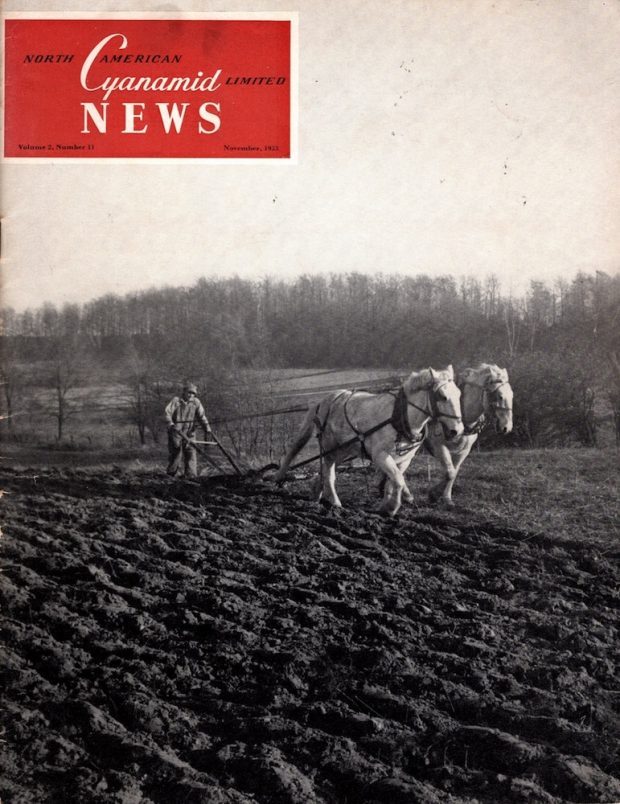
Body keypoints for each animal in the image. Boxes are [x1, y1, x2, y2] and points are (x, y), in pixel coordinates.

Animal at [274, 370, 462, 520]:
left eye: (459, 394)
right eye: (442, 396)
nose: (457, 430)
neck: (399, 417)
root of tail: (325, 400)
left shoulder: (404, 459)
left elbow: (393, 481)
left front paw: (385, 506)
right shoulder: (380, 456)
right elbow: (398, 480)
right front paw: (391, 508)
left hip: (342, 450)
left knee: (324, 471)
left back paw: (316, 492)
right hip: (329, 448)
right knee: (328, 473)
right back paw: (335, 501)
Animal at [426, 362, 512, 506]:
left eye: (512, 395)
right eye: (500, 396)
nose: (507, 427)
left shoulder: (464, 450)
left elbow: (453, 472)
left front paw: (444, 497)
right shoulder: (438, 447)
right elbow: (449, 472)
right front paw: (435, 493)